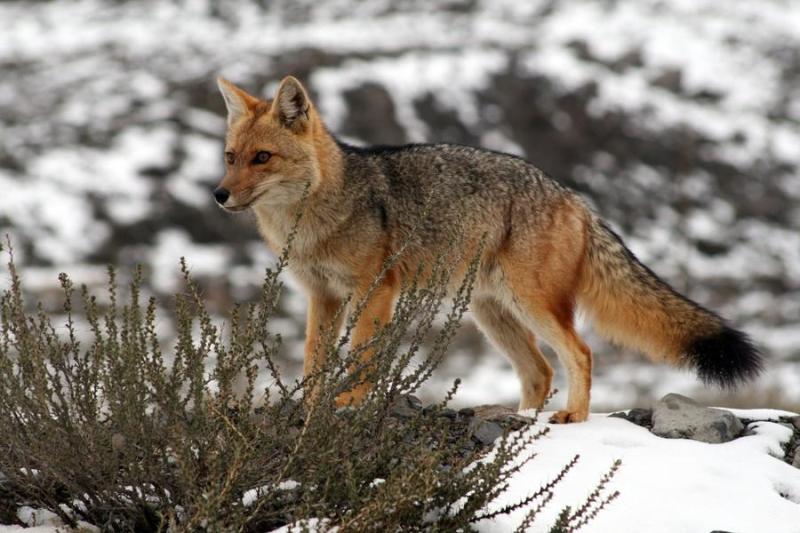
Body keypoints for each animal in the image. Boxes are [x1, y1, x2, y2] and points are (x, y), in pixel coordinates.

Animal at [212, 76, 764, 424]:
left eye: (263, 158)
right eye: (230, 157)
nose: (218, 195)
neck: (317, 216)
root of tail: (575, 199)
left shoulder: (376, 291)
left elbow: (362, 358)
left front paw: (348, 402)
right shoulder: (321, 296)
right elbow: (313, 359)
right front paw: (310, 405)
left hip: (531, 305)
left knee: (579, 353)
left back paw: (574, 415)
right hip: (491, 313)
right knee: (540, 372)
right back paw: (522, 418)